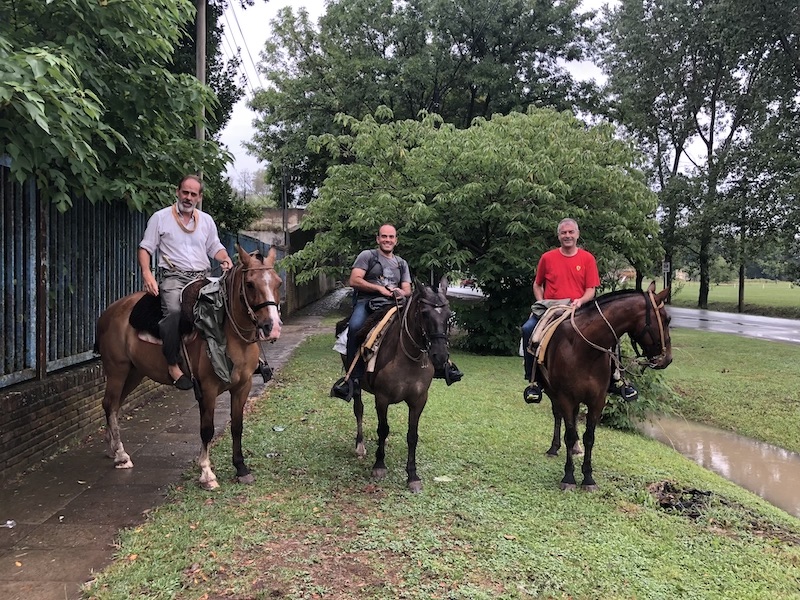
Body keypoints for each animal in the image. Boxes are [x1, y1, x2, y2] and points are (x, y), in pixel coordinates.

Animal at [95, 246, 282, 490]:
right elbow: (207, 430)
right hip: (118, 370)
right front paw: (207, 474)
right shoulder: (208, 389)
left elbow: (237, 426)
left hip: (134, 372)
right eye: (250, 284)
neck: (227, 332)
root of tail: (109, 311)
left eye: (278, 283)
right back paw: (121, 455)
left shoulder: (243, 386)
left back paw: (112, 448)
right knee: (110, 404)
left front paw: (241, 469)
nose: (272, 327)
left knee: (114, 405)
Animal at [348, 276, 454, 492]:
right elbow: (382, 428)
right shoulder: (382, 398)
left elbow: (412, 435)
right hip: (356, 385)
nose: (440, 356)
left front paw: (412, 475)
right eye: (424, 313)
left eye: (449, 315)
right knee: (359, 410)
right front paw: (379, 465)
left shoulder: (419, 400)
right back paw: (360, 445)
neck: (408, 358)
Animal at [536, 282, 668, 492]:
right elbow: (569, 434)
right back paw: (554, 448)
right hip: (552, 392)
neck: (584, 350)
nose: (668, 358)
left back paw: (575, 449)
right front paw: (569, 477)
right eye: (667, 319)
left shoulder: (597, 400)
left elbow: (589, 436)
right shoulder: (565, 396)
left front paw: (588, 478)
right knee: (558, 416)